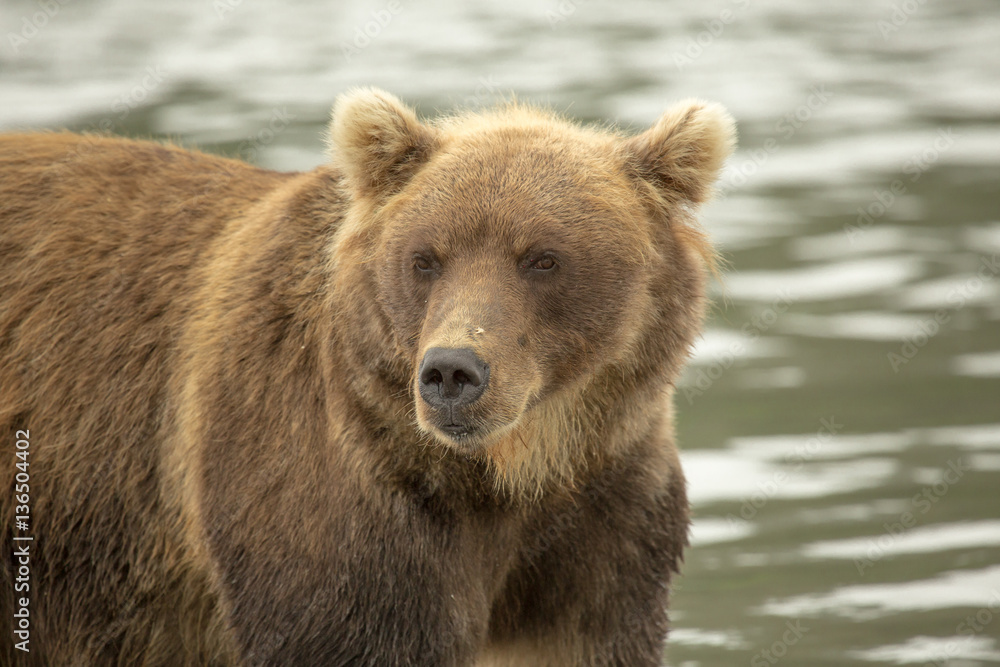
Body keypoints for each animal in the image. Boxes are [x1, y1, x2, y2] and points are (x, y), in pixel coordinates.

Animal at [0, 90, 736, 667]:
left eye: (543, 257)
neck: (510, 473)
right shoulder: (342, 508)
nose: (452, 371)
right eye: (426, 257)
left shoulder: (603, 518)